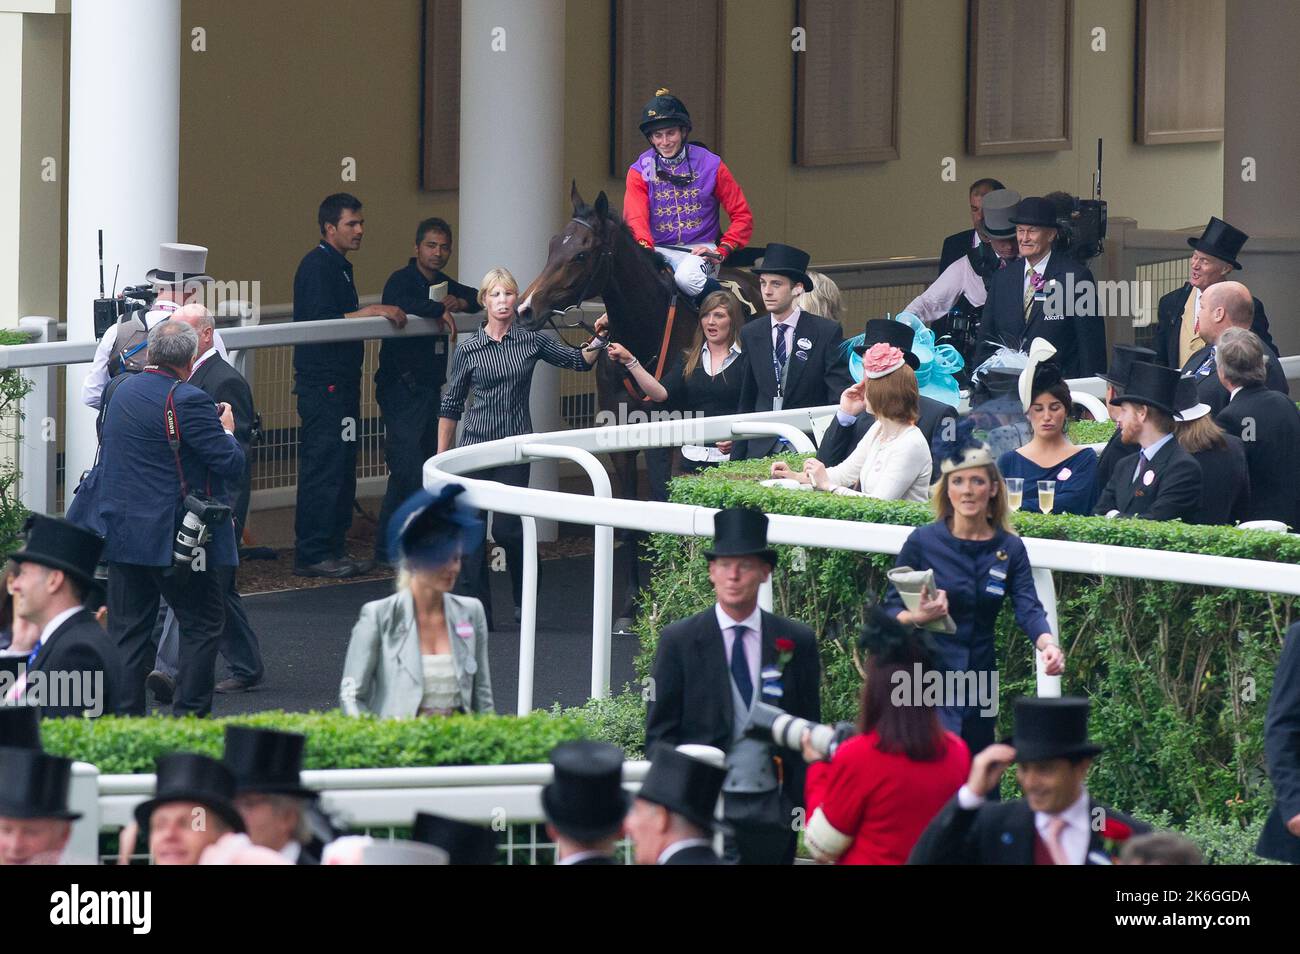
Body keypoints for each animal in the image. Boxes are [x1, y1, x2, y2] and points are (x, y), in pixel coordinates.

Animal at [517, 183, 759, 623]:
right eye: (552, 245)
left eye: (581, 254)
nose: (526, 309)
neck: (646, 333)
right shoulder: (620, 435)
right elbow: (630, 516)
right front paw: (631, 603)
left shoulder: (675, 434)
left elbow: (668, 503)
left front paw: (672, 588)